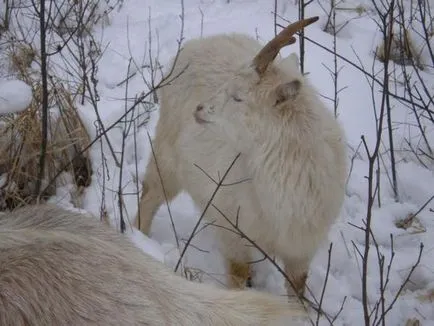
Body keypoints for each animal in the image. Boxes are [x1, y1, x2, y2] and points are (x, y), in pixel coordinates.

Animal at [134, 17, 348, 296]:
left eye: (237, 97)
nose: (199, 109)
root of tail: (195, 44)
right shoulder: (231, 230)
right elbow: (237, 275)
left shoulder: (301, 250)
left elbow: (297, 289)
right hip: (167, 153)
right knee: (151, 194)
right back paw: (139, 240)